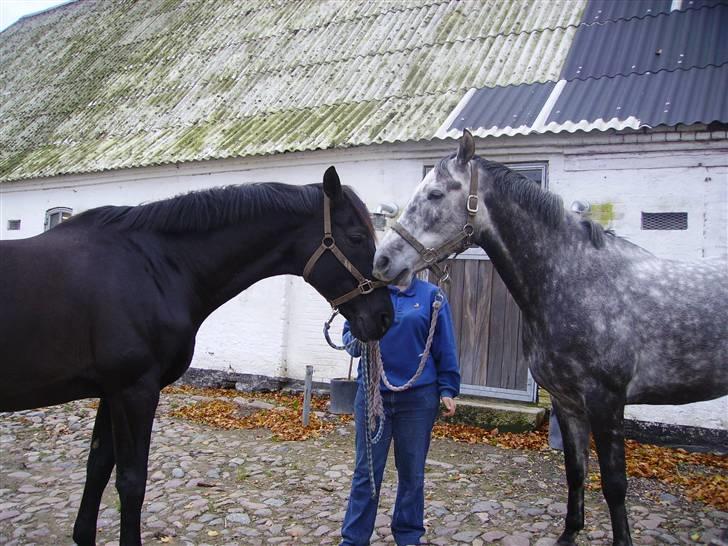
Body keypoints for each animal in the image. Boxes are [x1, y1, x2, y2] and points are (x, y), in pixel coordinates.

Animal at [0, 167, 392, 544]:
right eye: (356, 237)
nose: (385, 317)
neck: (155, 267)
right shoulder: (134, 392)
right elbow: (131, 482)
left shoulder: (111, 393)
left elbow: (97, 467)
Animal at [372, 132, 724, 544]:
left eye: (436, 194)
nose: (382, 262)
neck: (575, 279)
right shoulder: (567, 403)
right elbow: (575, 474)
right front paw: (569, 533)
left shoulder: (607, 403)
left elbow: (614, 484)